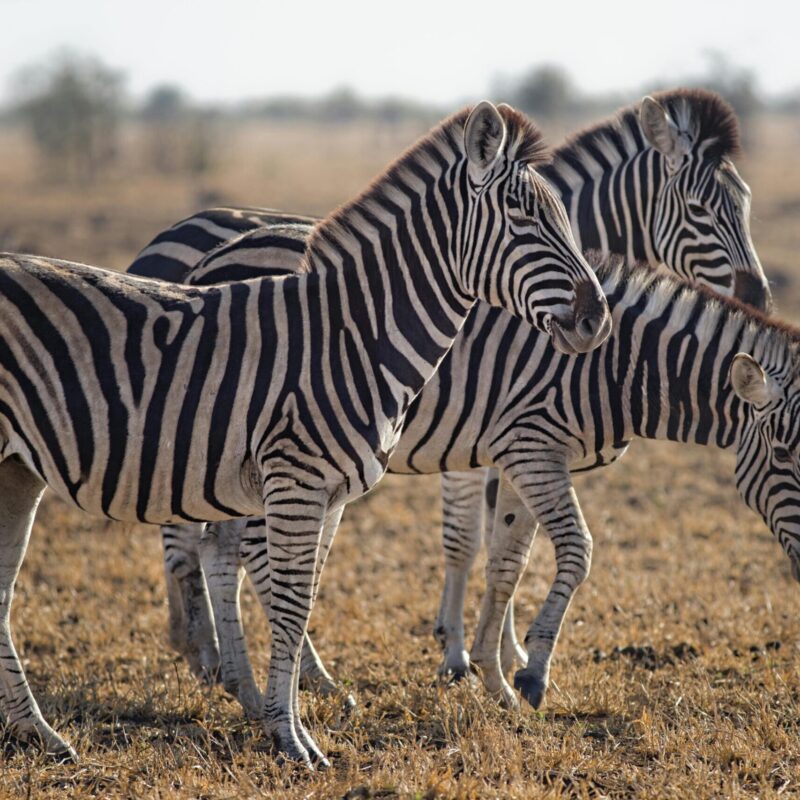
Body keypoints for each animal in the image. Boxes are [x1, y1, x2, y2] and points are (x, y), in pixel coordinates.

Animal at [0, 102, 610, 766]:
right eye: (523, 217)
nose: (598, 319)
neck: (353, 336)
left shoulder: (323, 490)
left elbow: (302, 595)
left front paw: (285, 718)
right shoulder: (296, 480)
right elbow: (291, 604)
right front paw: (291, 738)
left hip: (16, 469)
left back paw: (38, 734)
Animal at [129, 88, 772, 689]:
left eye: (746, 203)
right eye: (698, 209)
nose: (760, 300)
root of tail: (201, 250)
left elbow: (502, 541)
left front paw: (497, 651)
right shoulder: (486, 432)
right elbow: (469, 541)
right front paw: (466, 656)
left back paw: (209, 652)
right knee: (198, 540)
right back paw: (226, 657)